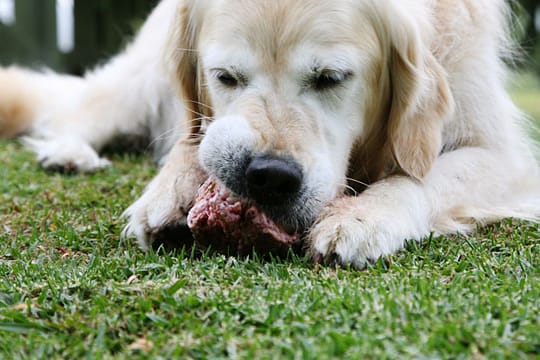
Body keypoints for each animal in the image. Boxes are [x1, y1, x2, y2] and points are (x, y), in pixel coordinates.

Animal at [1, 0, 540, 268]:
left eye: (331, 78)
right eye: (225, 77)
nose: (268, 177)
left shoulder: (503, 155)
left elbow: (420, 178)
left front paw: (364, 216)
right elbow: (195, 142)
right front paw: (168, 190)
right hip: (142, 77)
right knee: (84, 110)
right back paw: (69, 152)